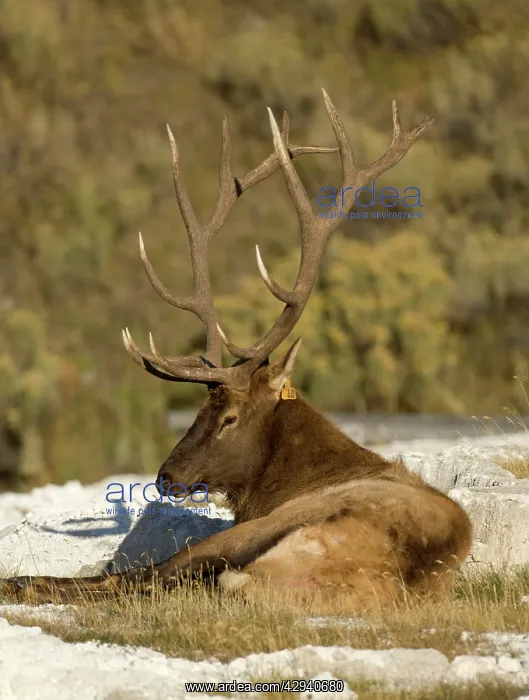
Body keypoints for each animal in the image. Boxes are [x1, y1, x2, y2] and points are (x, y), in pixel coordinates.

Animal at [0, 89, 472, 609]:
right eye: (199, 409)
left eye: (229, 418)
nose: (167, 476)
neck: (300, 475)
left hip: (255, 535)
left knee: (138, 579)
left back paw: (22, 583)